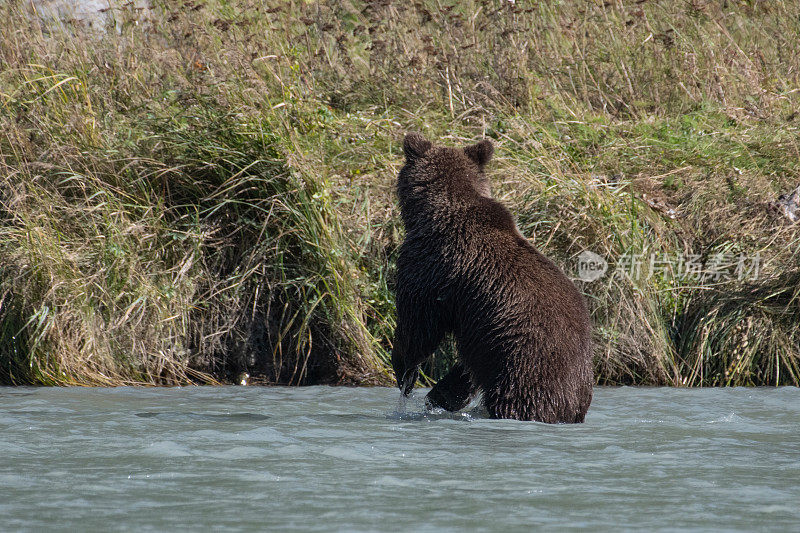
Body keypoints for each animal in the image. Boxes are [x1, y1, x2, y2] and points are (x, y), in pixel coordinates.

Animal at [390, 134, 592, 424]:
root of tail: (573, 404)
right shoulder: (477, 331)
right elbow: (465, 366)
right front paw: (440, 395)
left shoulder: (429, 266)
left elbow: (418, 324)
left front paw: (405, 373)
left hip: (525, 368)